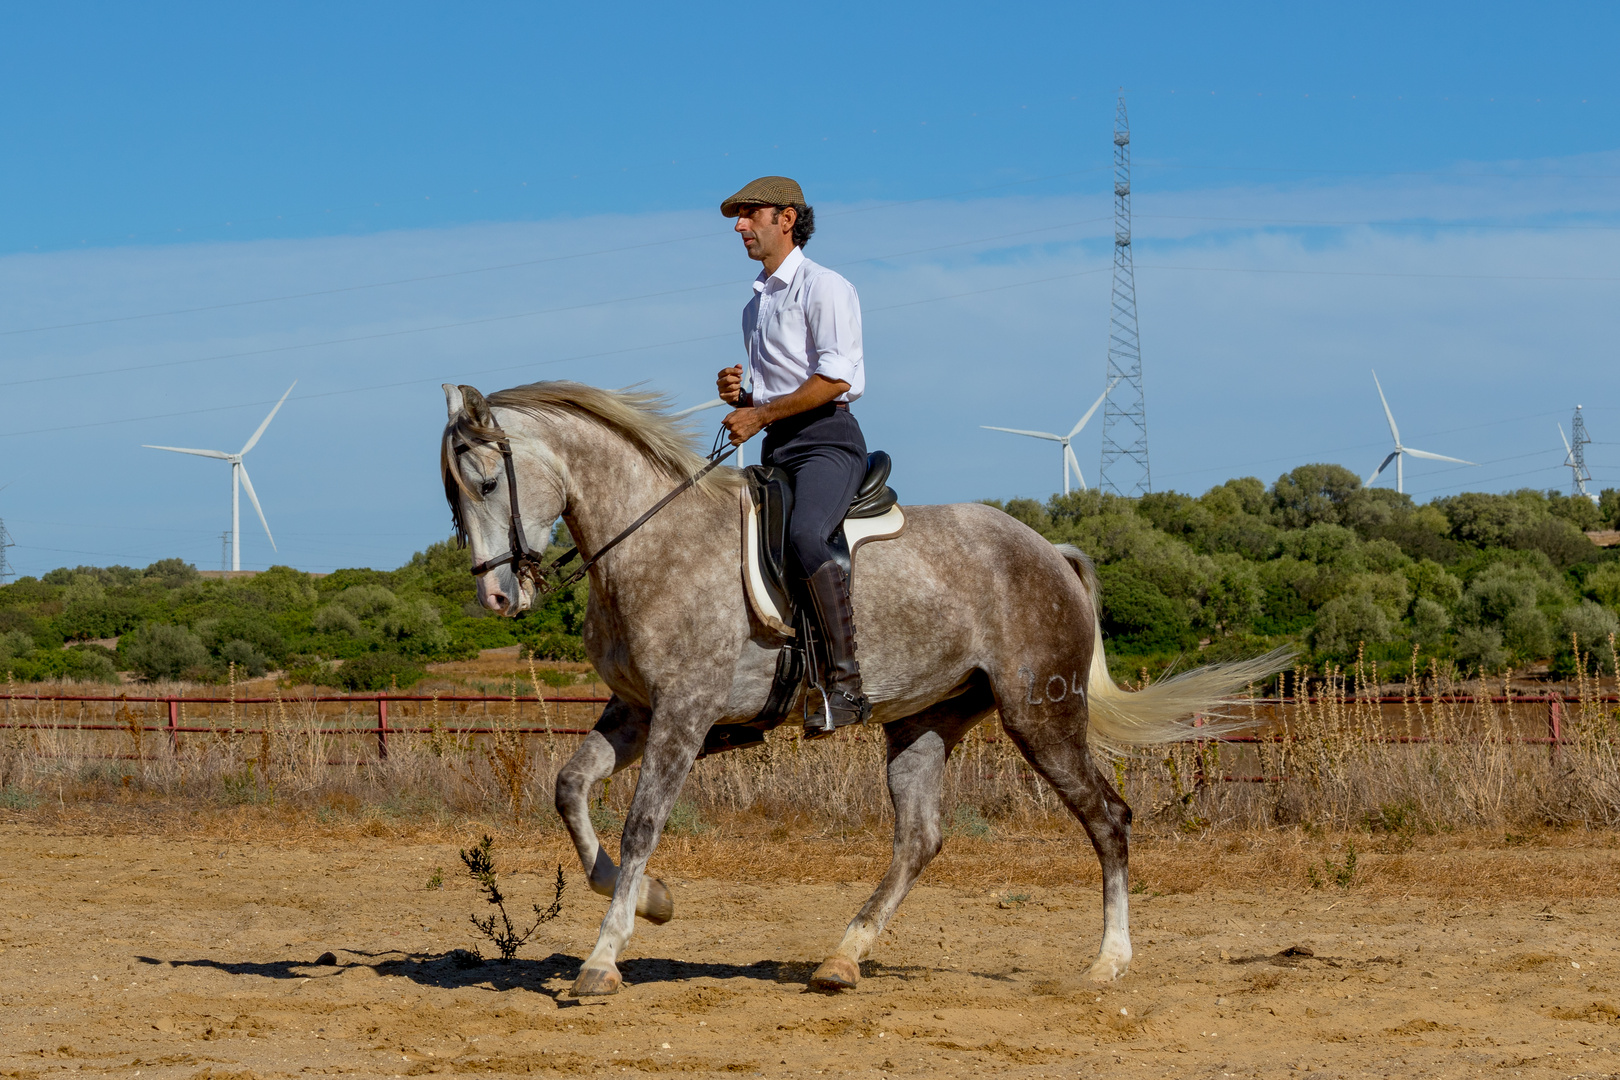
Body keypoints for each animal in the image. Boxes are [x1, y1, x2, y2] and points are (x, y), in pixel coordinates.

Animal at [437, 380, 1283, 997]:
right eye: (452, 497)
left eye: (487, 480)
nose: (498, 599)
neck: (650, 544)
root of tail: (1049, 551)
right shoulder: (637, 711)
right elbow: (569, 787)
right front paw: (651, 901)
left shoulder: (683, 713)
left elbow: (643, 824)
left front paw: (603, 958)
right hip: (923, 722)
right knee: (919, 838)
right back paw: (843, 958)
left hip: (1041, 715)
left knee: (1107, 818)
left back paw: (1107, 962)